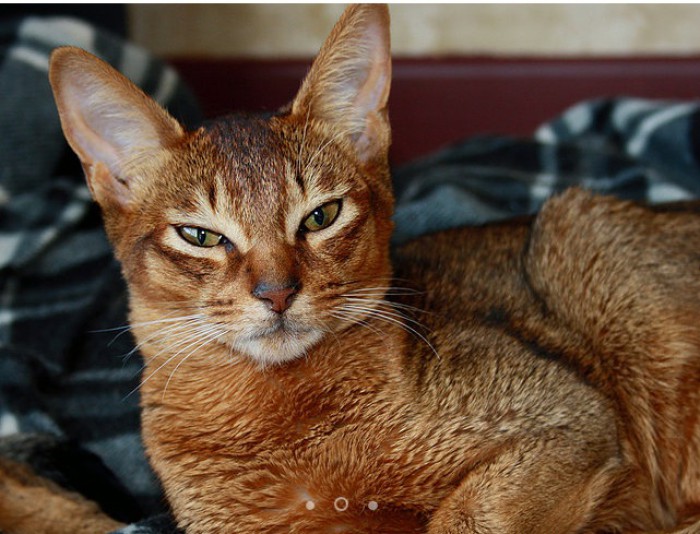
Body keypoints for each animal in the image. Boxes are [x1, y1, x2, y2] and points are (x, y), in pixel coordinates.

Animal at [45, 4, 700, 534]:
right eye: (200, 235)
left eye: (321, 216)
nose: (276, 293)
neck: (279, 420)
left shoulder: (566, 420)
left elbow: (465, 518)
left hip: (578, 235)